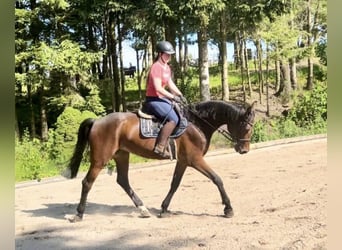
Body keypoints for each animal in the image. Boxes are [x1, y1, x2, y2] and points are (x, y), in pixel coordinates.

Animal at [65, 99, 255, 221]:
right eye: (246, 127)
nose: (244, 150)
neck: (197, 123)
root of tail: (97, 121)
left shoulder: (183, 161)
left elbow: (175, 184)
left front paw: (164, 208)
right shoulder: (195, 159)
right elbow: (217, 179)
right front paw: (228, 208)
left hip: (121, 155)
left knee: (123, 181)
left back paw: (143, 209)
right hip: (100, 159)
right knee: (87, 183)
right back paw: (79, 214)